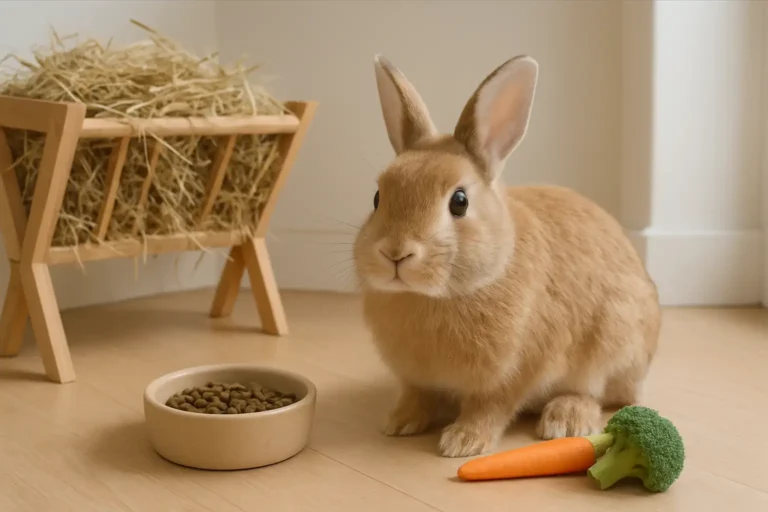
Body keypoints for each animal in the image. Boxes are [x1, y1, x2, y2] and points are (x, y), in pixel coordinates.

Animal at [352, 54, 661, 458]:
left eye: (460, 201)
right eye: (377, 198)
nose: (395, 252)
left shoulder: (515, 372)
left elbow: (491, 406)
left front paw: (463, 442)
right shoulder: (417, 378)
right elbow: (417, 395)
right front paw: (398, 422)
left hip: (612, 344)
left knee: (597, 395)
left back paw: (565, 420)